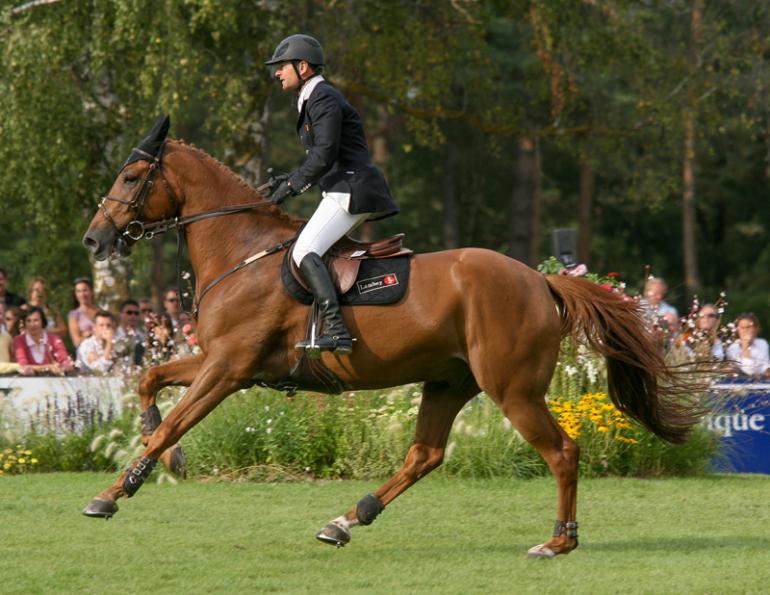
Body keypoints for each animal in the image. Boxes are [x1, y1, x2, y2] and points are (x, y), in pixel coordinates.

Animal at [82, 116, 705, 558]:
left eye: (131, 177)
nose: (94, 240)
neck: (243, 251)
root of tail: (540, 279)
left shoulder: (229, 368)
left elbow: (172, 420)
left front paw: (114, 493)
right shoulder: (224, 361)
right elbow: (150, 381)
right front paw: (165, 458)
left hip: (513, 389)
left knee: (561, 451)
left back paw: (558, 541)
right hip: (449, 382)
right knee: (424, 455)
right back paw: (345, 520)